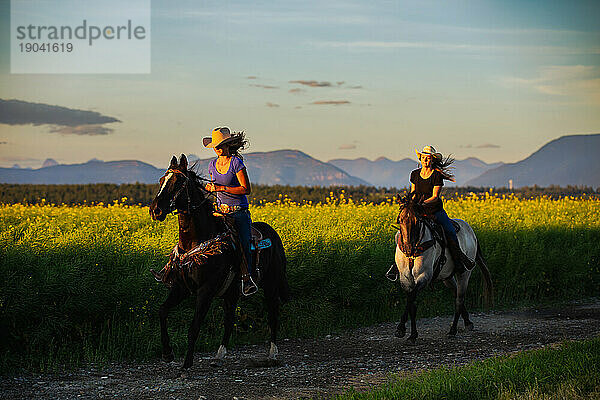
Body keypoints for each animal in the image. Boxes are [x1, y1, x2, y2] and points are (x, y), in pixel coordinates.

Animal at [150, 154, 290, 372]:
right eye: (161, 180)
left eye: (179, 182)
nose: (155, 210)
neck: (197, 240)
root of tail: (272, 233)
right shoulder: (182, 287)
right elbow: (162, 311)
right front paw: (167, 353)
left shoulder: (205, 290)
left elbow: (194, 327)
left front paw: (186, 365)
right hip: (232, 292)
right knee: (229, 319)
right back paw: (219, 356)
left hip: (271, 284)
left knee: (273, 313)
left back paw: (273, 354)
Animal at [390, 195, 492, 344]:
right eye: (400, 220)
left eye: (418, 221)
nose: (409, 248)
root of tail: (472, 233)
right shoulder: (405, 279)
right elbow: (411, 303)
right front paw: (410, 333)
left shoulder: (424, 276)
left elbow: (411, 300)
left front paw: (403, 330)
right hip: (447, 277)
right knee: (455, 293)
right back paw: (468, 323)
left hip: (464, 273)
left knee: (459, 299)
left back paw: (453, 330)